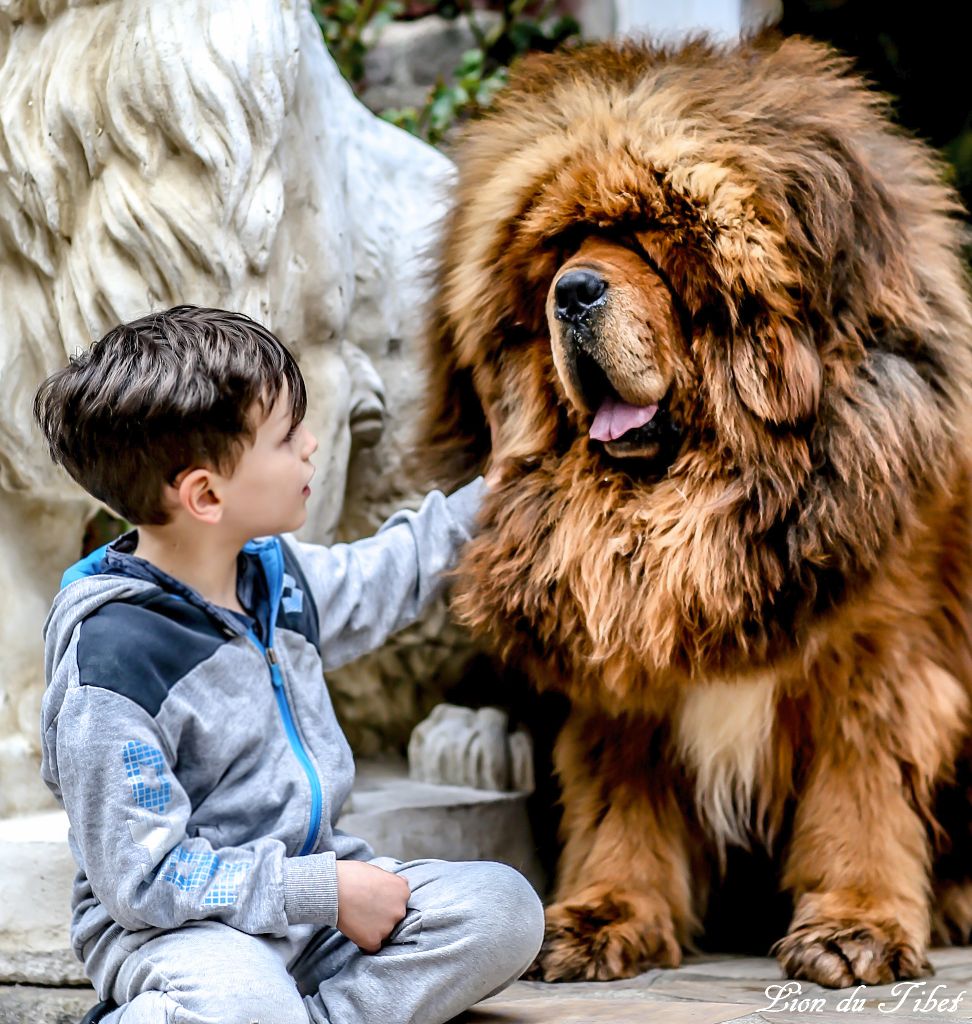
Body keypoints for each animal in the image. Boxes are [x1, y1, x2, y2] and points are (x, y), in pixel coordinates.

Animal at [421, 36, 970, 987]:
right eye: (563, 248)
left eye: (651, 244)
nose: (572, 291)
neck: (687, 510)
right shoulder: (619, 655)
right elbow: (623, 802)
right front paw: (604, 914)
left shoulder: (881, 661)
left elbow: (863, 796)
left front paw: (854, 925)